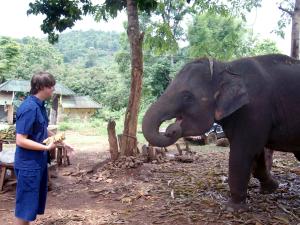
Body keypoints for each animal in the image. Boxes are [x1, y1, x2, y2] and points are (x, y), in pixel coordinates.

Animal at [142, 54, 300, 209]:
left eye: (187, 97)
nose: (170, 130)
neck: (227, 67)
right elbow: (256, 153)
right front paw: (270, 188)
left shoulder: (255, 109)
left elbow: (243, 151)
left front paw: (232, 207)